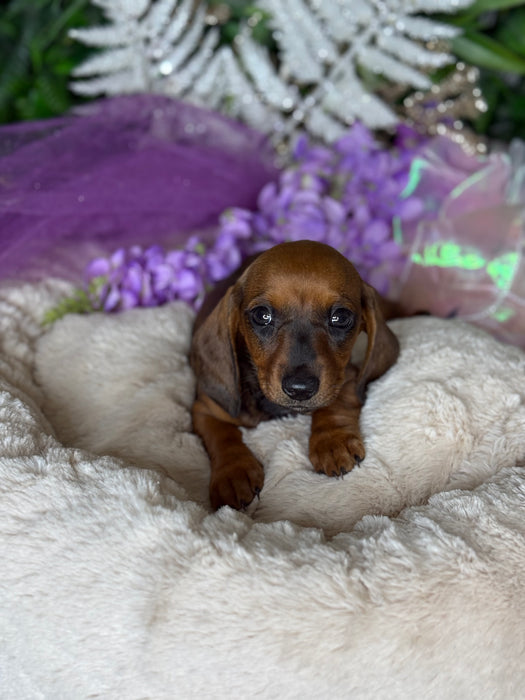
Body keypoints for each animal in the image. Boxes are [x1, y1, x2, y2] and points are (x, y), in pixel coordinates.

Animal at [190, 239, 400, 508]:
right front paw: (232, 472)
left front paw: (332, 441)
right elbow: (221, 435)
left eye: (340, 317)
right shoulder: (206, 407)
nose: (300, 389)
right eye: (262, 315)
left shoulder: (346, 376)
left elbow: (336, 402)